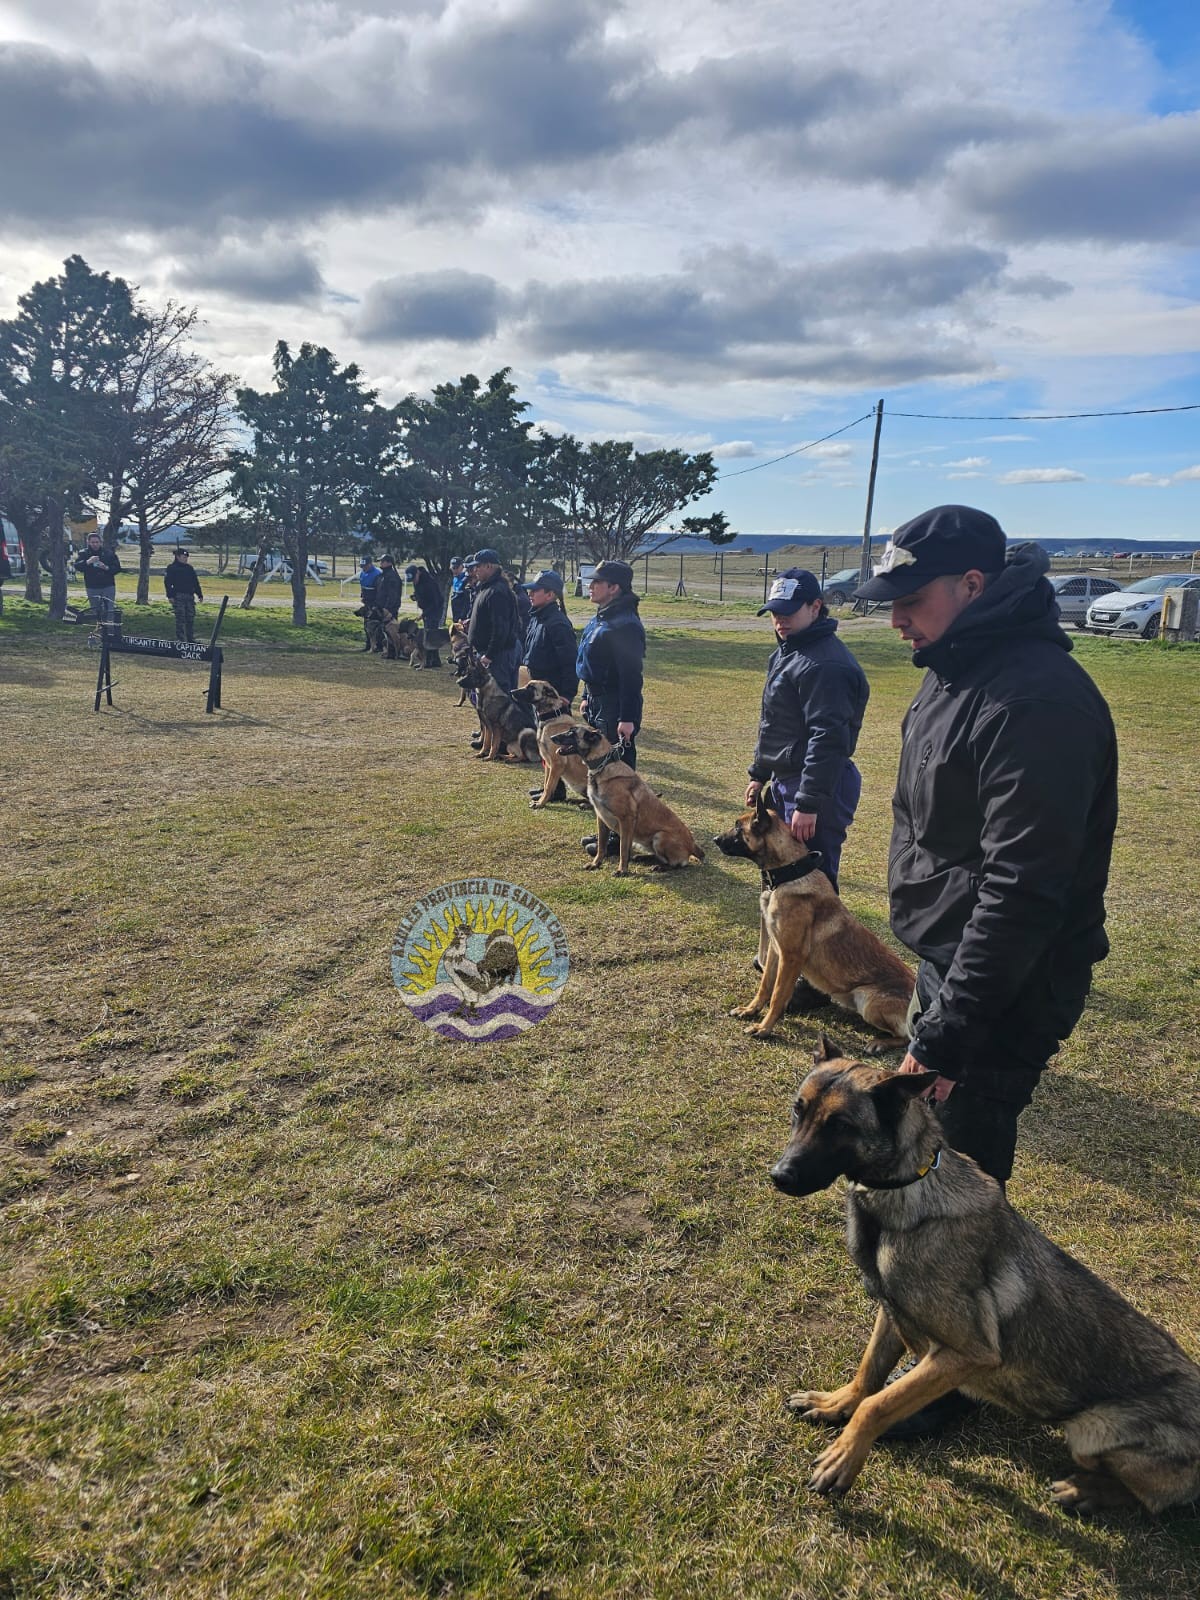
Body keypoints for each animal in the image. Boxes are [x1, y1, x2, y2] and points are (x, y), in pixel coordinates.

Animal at [508, 678, 592, 806]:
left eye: (531, 687)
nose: (511, 691)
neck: (551, 718)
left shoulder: (557, 763)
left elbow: (548, 786)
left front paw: (540, 803)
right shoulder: (548, 763)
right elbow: (547, 782)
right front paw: (543, 799)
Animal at [553, 726, 710, 876]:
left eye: (572, 733)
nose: (552, 737)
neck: (603, 766)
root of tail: (693, 845)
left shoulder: (626, 820)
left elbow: (623, 849)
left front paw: (622, 871)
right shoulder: (601, 818)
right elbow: (602, 846)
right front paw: (596, 864)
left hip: (660, 836)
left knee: (677, 864)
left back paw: (660, 867)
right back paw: (642, 858)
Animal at [713, 793, 908, 1043]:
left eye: (738, 827)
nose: (715, 839)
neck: (789, 874)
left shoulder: (791, 956)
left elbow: (777, 995)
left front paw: (764, 1028)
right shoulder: (776, 949)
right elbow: (765, 986)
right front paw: (751, 1010)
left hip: (868, 1000)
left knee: (907, 1037)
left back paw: (879, 1044)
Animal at [771, 1043, 1200, 1516]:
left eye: (841, 1126)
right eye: (798, 1111)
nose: (779, 1176)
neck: (908, 1191)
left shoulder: (968, 1354)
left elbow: (879, 1404)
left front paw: (844, 1457)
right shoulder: (892, 1312)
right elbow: (869, 1373)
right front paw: (837, 1404)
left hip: (1094, 1431)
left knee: (1151, 1499)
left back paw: (1087, 1491)